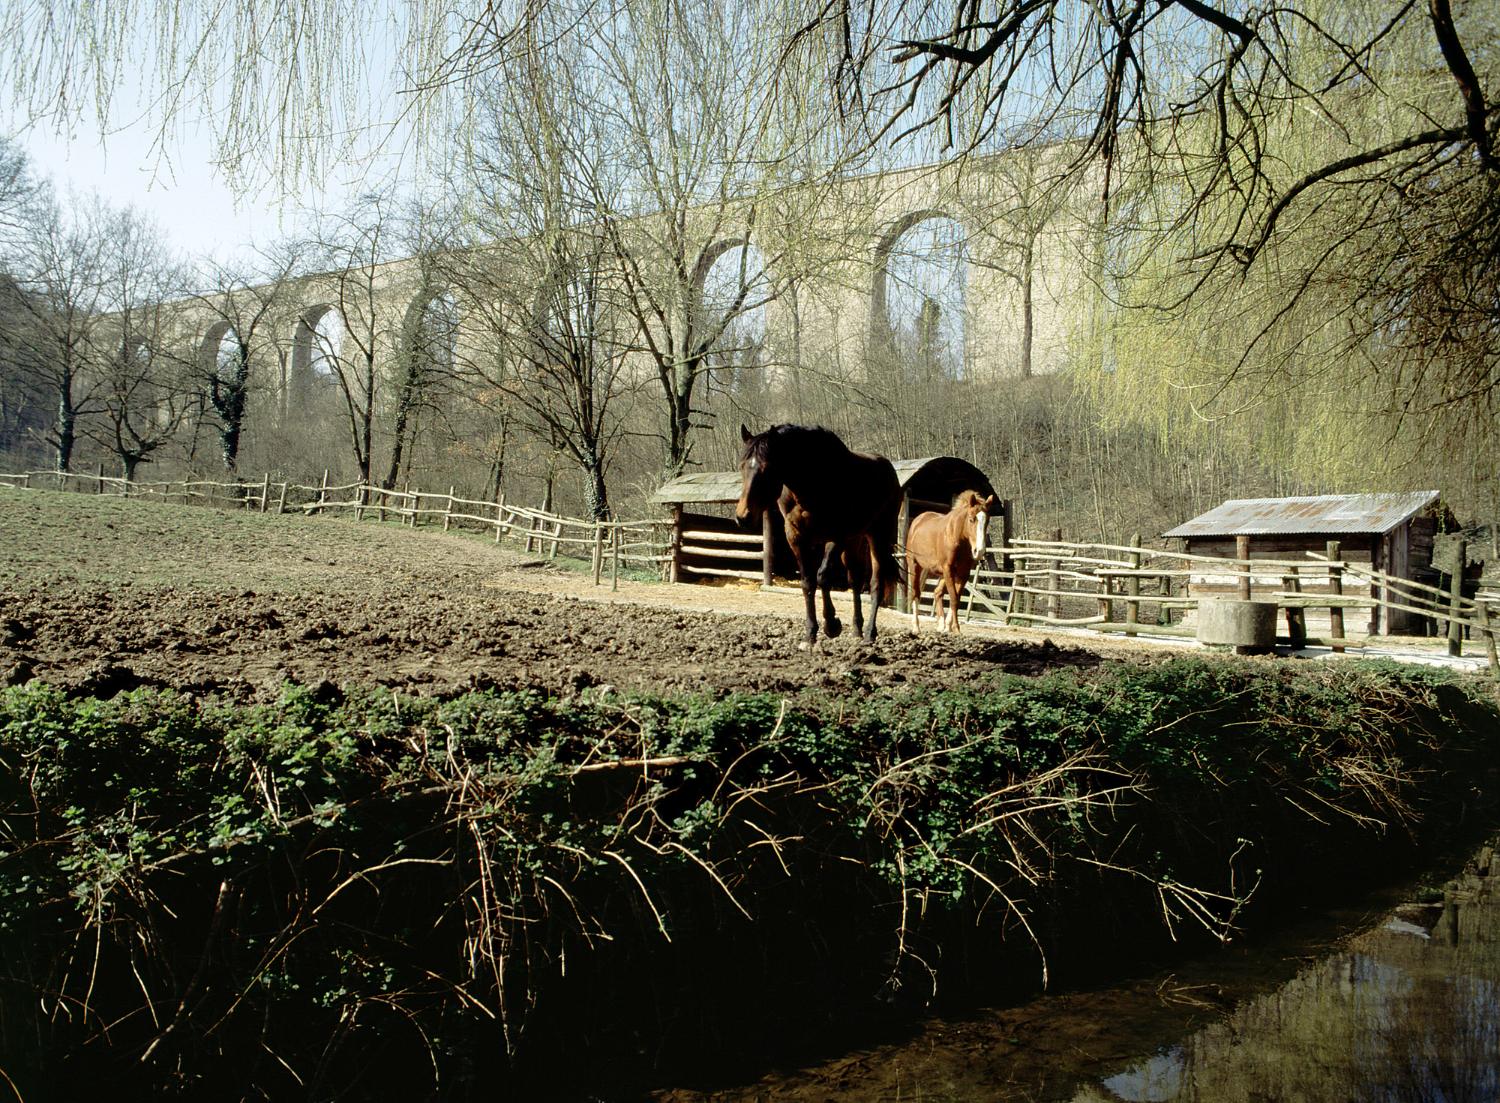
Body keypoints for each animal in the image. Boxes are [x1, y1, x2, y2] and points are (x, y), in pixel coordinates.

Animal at [732, 423, 894, 648]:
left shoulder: (836, 536)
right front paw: (810, 633)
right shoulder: (796, 537)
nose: (743, 516)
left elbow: (823, 576)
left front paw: (831, 624)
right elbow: (808, 582)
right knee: (855, 579)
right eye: (742, 466)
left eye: (768, 469)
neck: (812, 483)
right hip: (854, 540)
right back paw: (856, 629)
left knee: (876, 584)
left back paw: (870, 633)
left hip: (878, 536)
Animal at [900, 489, 996, 633]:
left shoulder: (962, 573)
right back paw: (916, 627)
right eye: (971, 519)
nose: (979, 551)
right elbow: (954, 598)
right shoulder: (948, 569)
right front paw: (956, 628)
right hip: (915, 566)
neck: (956, 537)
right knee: (916, 593)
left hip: (940, 573)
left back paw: (941, 625)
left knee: (937, 592)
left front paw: (950, 627)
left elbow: (956, 598)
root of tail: (918, 520)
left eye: (988, 521)